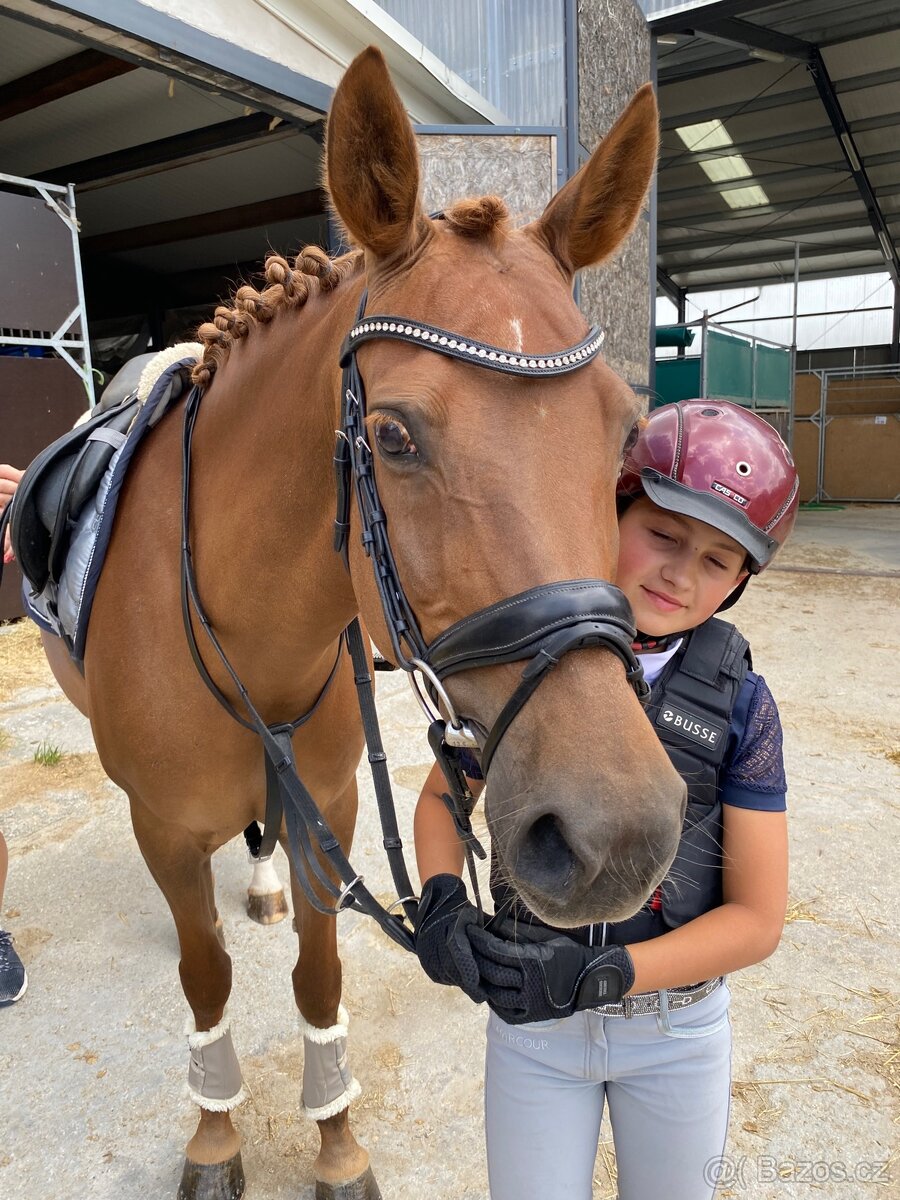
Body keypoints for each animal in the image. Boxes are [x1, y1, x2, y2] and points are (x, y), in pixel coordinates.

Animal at [36, 46, 684, 1200]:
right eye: (392, 436)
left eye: (623, 429)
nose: (620, 837)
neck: (250, 633)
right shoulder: (163, 827)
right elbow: (205, 974)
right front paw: (216, 1136)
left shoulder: (325, 806)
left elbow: (318, 972)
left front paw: (336, 1143)